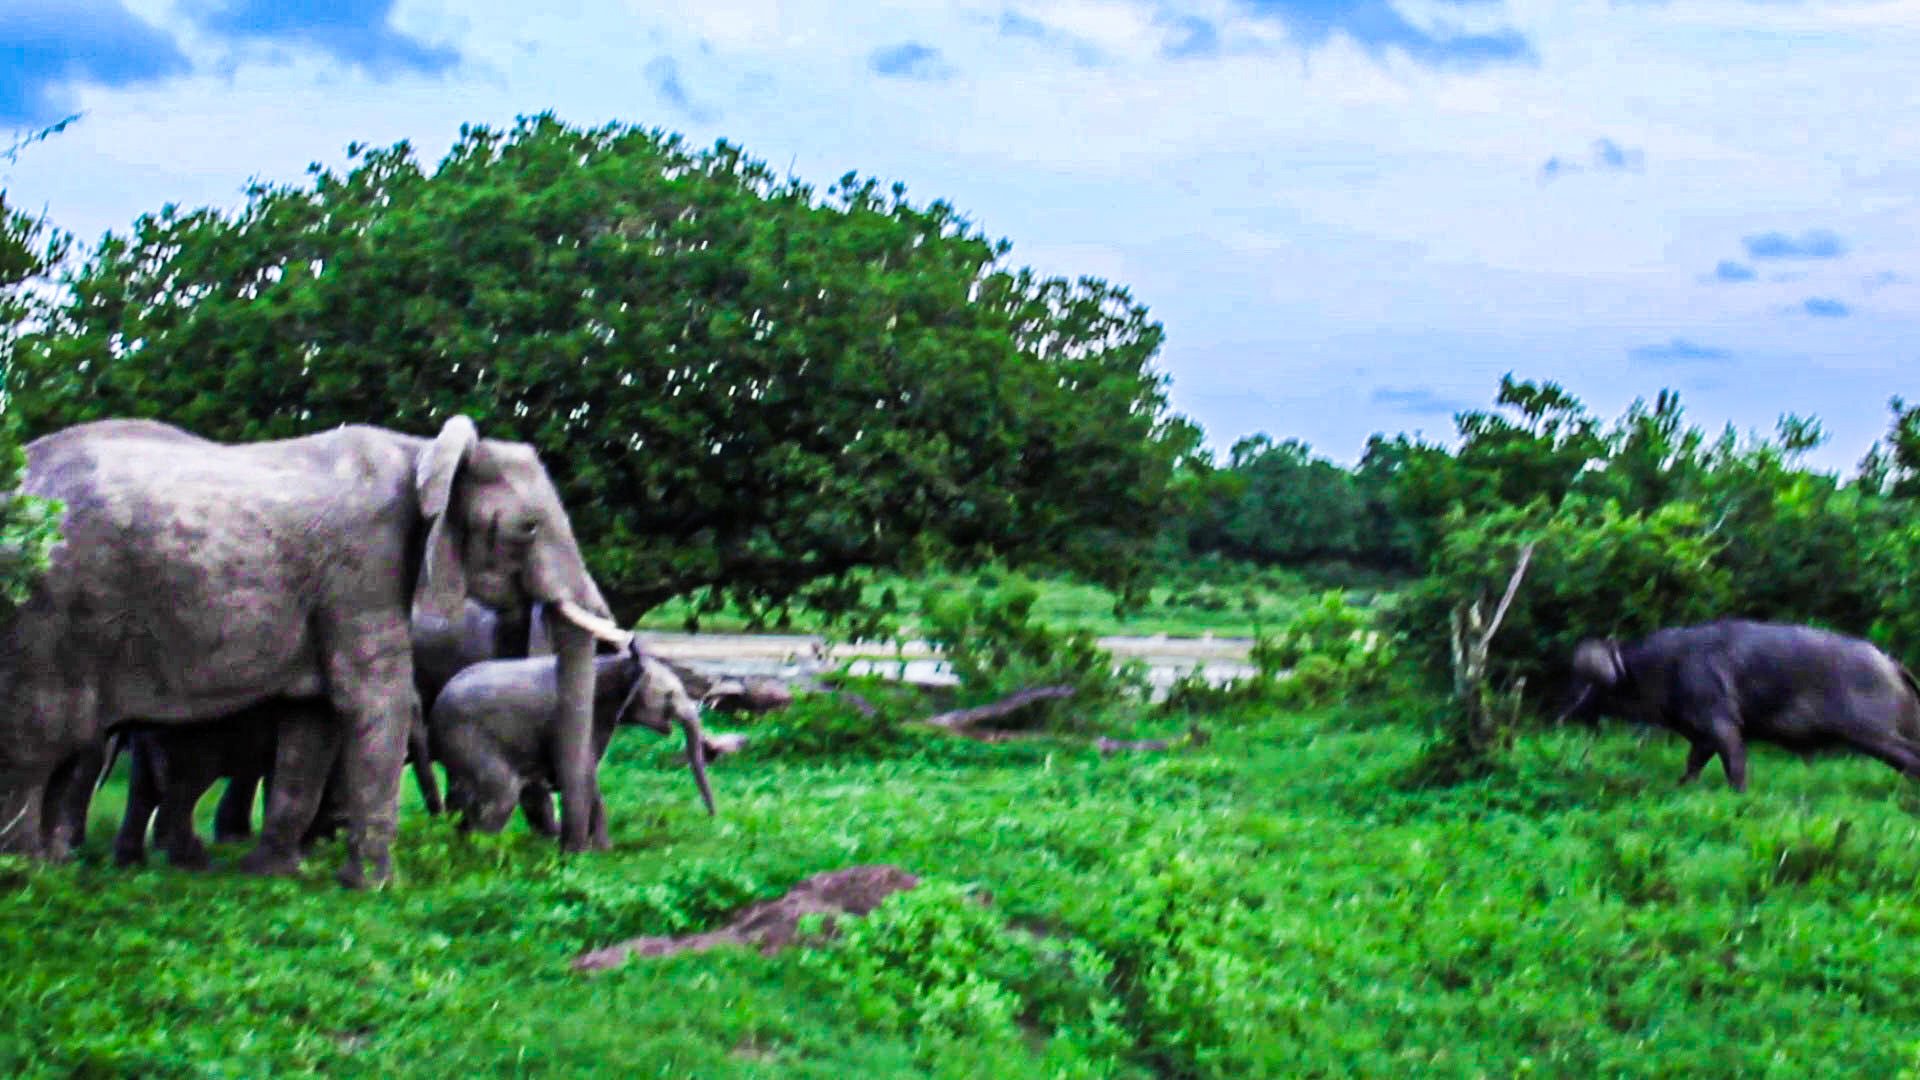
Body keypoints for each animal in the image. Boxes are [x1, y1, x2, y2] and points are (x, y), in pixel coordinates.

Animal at [0, 415, 632, 886]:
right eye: (528, 528)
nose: (575, 853)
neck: (423, 450)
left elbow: (315, 718)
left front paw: (277, 873)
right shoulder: (364, 566)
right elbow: (373, 700)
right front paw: (375, 886)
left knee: (67, 751)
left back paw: (61, 870)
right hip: (47, 614)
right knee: (38, 744)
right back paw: (30, 880)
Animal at [429, 640, 715, 841]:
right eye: (669, 695)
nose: (712, 816)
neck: (614, 662)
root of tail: (438, 704)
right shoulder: (586, 717)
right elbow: (585, 774)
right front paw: (601, 852)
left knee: (461, 798)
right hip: (470, 738)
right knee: (501, 795)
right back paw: (482, 851)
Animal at [1561, 619, 1920, 791]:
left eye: (1589, 683)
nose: (1564, 712)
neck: (1665, 667)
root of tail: (1893, 664)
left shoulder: (1723, 724)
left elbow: (1735, 766)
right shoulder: (1702, 737)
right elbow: (1692, 765)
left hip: (1872, 734)